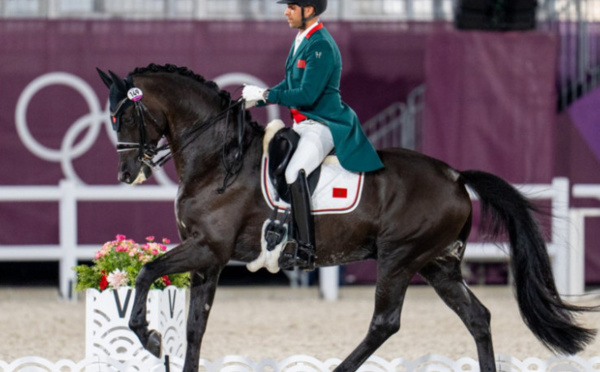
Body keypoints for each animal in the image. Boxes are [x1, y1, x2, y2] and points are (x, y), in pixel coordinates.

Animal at [97, 64, 596, 372]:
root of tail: (454, 174)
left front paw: (148, 337)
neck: (219, 160)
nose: (125, 173)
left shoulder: (207, 248)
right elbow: (195, 326)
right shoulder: (209, 259)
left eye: (125, 116)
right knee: (478, 317)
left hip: (399, 257)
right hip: (438, 264)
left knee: (385, 323)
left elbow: (145, 272)